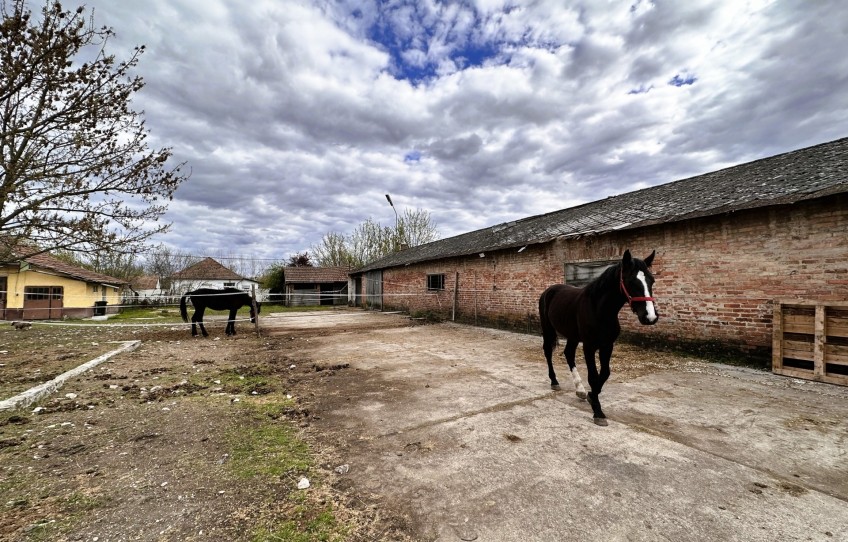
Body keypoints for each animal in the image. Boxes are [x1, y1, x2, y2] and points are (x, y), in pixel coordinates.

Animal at [540, 253, 660, 428]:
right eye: (631, 281)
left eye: (652, 280)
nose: (650, 317)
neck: (599, 310)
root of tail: (549, 290)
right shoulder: (589, 346)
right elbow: (593, 375)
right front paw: (598, 411)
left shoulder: (607, 345)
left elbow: (604, 374)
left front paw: (591, 396)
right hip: (548, 329)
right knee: (548, 352)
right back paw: (554, 381)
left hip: (573, 335)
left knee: (568, 354)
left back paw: (580, 390)